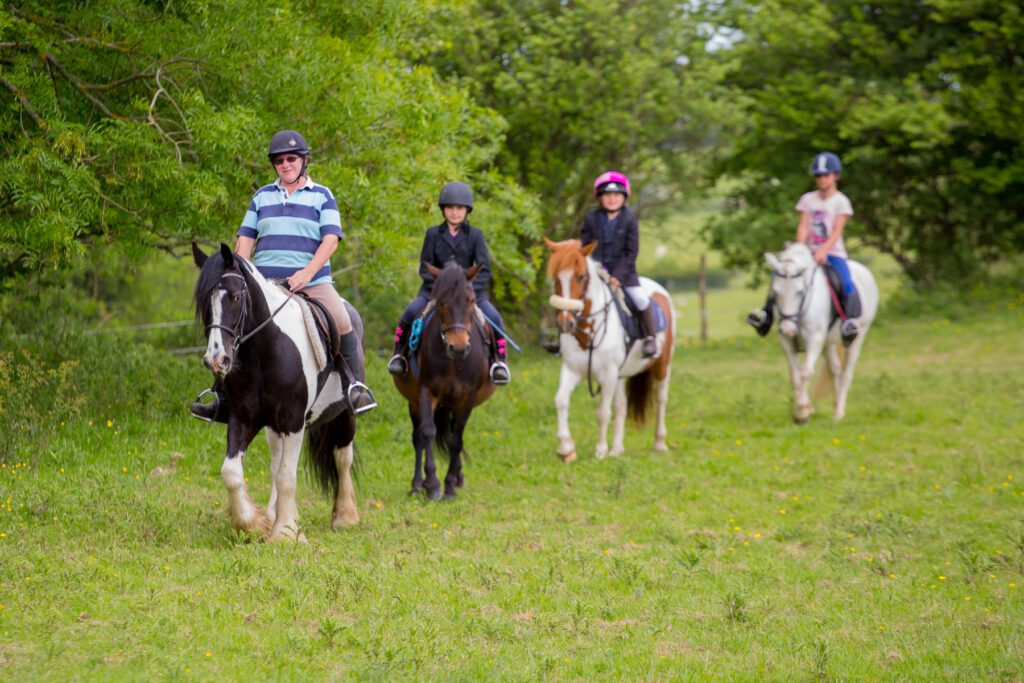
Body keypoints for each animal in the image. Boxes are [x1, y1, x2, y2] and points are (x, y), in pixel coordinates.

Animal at [193, 242, 366, 540]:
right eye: (205, 303)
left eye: (235, 297)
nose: (216, 360)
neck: (265, 350)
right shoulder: (244, 417)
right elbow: (232, 472)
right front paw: (254, 523)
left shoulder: (294, 420)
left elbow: (288, 476)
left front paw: (285, 533)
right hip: (272, 425)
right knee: (276, 462)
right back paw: (276, 514)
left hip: (345, 414)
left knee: (342, 457)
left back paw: (344, 516)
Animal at [391, 262, 495, 501]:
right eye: (440, 302)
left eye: (471, 300)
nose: (458, 348)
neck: (453, 363)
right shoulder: (426, 393)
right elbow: (428, 433)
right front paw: (432, 485)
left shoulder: (467, 399)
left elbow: (456, 440)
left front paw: (449, 487)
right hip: (415, 403)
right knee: (418, 438)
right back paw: (417, 485)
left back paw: (457, 477)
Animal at [540, 236, 675, 464]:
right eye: (557, 277)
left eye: (581, 276)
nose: (565, 323)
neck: (588, 332)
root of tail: (659, 289)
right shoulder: (572, 370)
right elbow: (560, 401)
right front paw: (566, 448)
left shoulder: (608, 374)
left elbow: (603, 412)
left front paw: (600, 451)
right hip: (621, 375)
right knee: (622, 406)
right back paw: (617, 449)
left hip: (662, 366)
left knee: (661, 399)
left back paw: (659, 443)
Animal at [770, 240, 880, 421]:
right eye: (775, 291)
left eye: (800, 292)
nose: (787, 329)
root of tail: (864, 271)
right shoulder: (787, 342)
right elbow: (795, 375)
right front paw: (803, 409)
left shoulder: (814, 340)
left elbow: (806, 372)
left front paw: (802, 411)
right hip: (828, 343)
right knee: (835, 370)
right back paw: (835, 409)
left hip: (858, 336)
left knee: (847, 372)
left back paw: (839, 412)